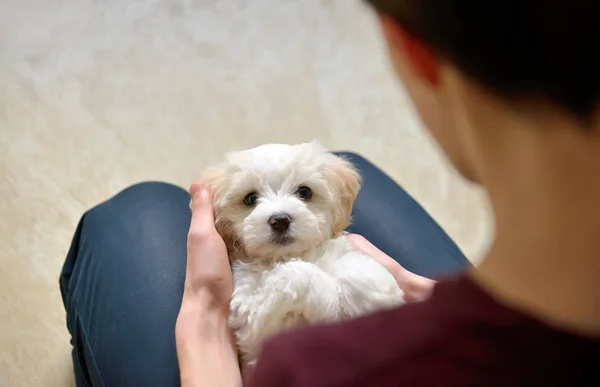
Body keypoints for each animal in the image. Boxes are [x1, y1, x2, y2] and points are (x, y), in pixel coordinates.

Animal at [202, 142, 404, 370]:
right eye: (250, 199)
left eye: (304, 192)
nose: (280, 220)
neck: (289, 254)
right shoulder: (252, 316)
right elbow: (298, 275)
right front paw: (331, 301)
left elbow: (359, 271)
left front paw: (378, 294)